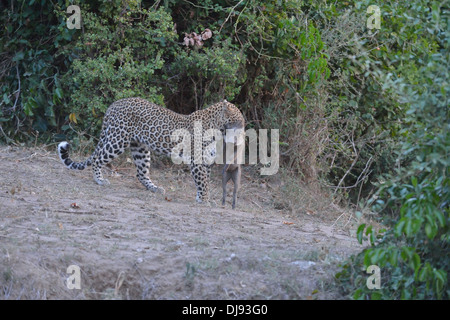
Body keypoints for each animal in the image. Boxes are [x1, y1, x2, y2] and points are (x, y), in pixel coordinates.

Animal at [58, 96, 246, 204]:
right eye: (239, 120)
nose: (244, 130)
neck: (218, 128)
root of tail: (113, 105)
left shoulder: (205, 161)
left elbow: (203, 181)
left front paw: (201, 198)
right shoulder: (197, 160)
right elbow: (203, 182)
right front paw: (205, 200)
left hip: (140, 148)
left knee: (141, 173)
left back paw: (155, 189)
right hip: (117, 140)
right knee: (98, 159)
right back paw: (99, 180)